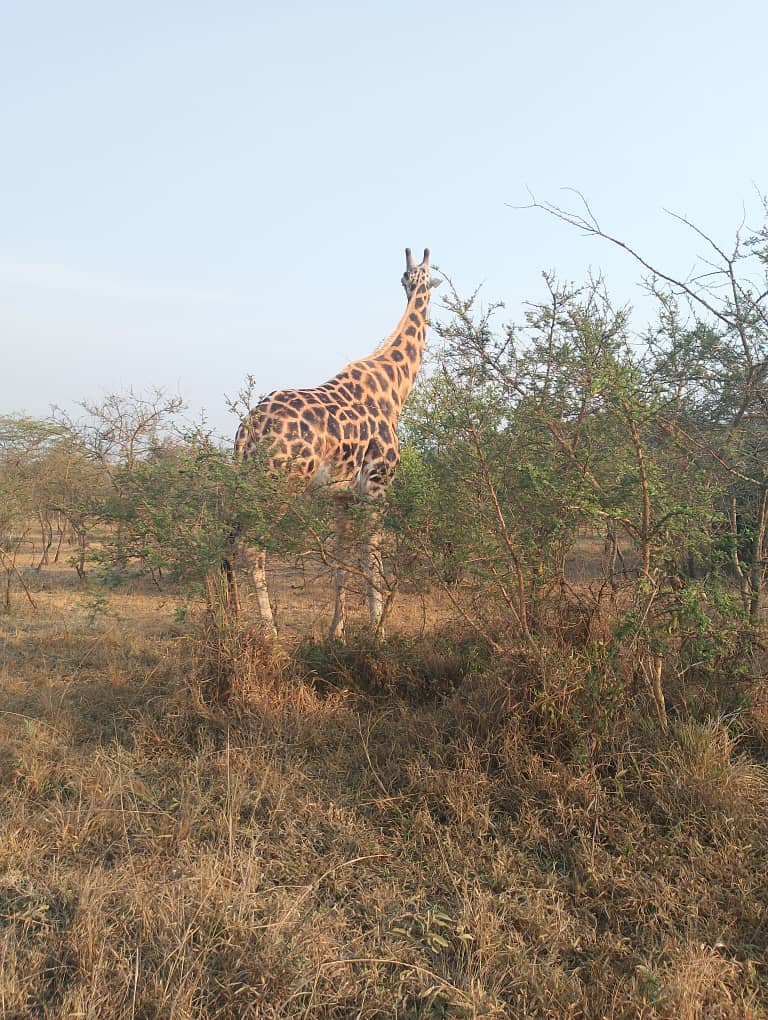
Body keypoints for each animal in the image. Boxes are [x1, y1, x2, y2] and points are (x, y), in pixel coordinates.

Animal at [231, 247, 440, 639]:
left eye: (410, 278)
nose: (412, 287)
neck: (395, 387)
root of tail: (247, 432)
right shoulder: (378, 485)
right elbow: (372, 555)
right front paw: (378, 630)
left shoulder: (341, 495)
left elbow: (341, 558)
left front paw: (337, 632)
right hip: (280, 484)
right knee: (251, 547)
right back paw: (270, 634)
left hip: (249, 482)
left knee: (226, 541)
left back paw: (227, 623)